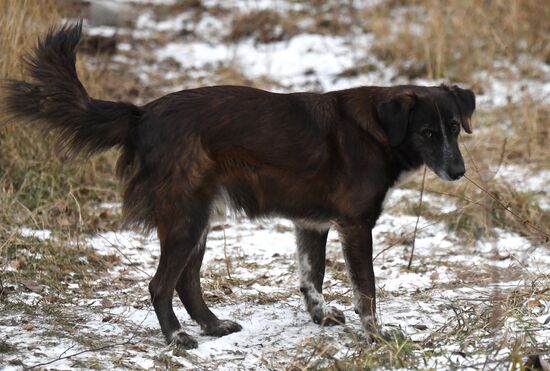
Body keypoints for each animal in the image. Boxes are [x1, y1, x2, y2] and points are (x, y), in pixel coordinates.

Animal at [4, 23, 476, 348]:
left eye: (454, 127)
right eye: (427, 133)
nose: (459, 171)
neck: (379, 128)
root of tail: (141, 115)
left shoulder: (312, 224)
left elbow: (311, 277)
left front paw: (321, 317)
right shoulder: (356, 227)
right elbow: (367, 292)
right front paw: (376, 337)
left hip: (198, 218)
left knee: (186, 281)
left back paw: (212, 325)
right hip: (186, 218)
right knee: (161, 284)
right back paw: (177, 338)